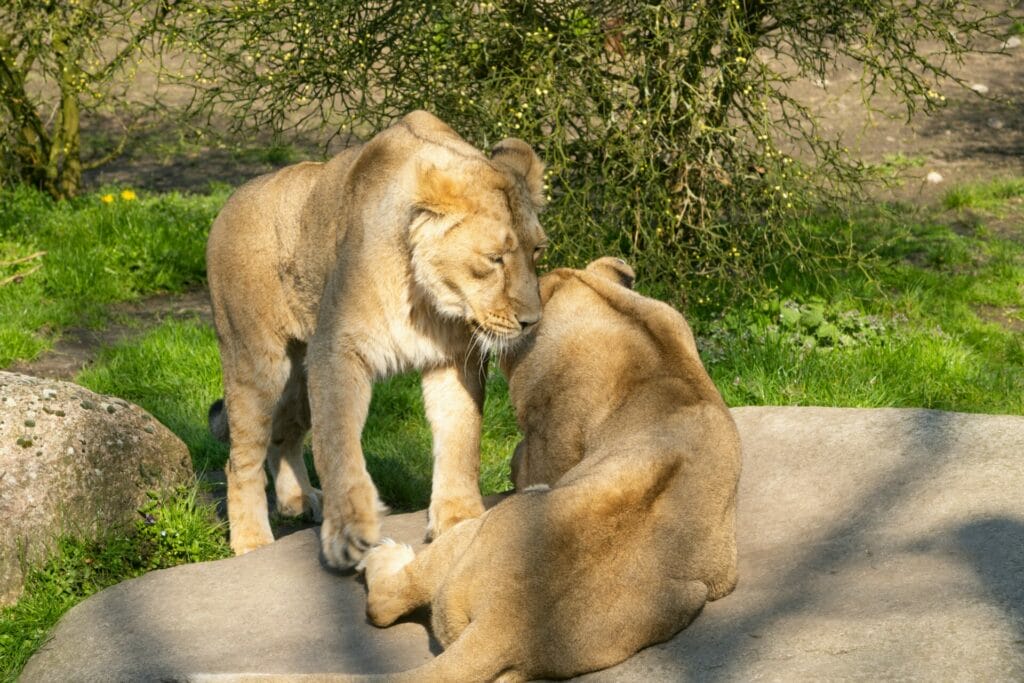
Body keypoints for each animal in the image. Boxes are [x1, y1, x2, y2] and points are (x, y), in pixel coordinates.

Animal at [202, 112, 548, 569]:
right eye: (494, 259)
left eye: (537, 252)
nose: (532, 322)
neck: (426, 297)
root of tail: (230, 200)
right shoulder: (336, 351)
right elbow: (339, 449)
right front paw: (350, 532)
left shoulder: (454, 359)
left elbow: (461, 437)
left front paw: (459, 520)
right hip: (256, 363)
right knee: (241, 457)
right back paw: (252, 541)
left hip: (300, 374)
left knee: (284, 433)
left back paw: (298, 499)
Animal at [356, 258, 741, 683]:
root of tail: (502, 623)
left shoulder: (546, 433)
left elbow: (524, 456)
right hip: (688, 597)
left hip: (493, 519)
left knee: (385, 601)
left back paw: (382, 554)